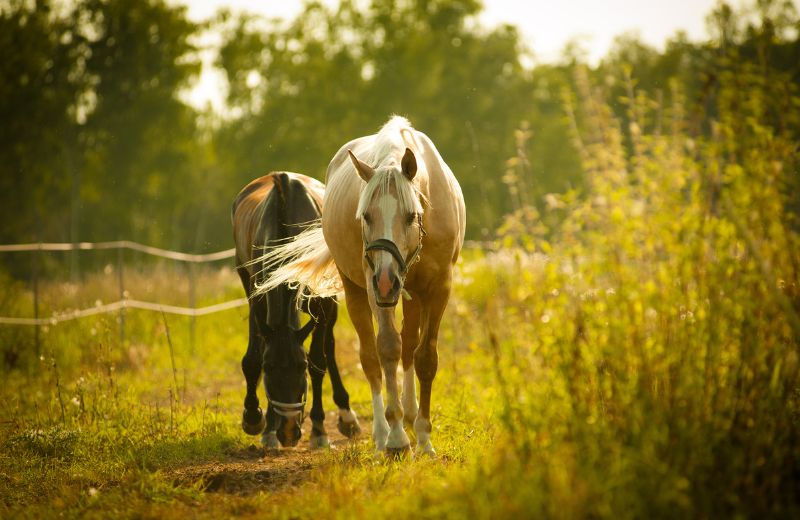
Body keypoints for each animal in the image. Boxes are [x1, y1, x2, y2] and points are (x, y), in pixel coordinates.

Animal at [230, 173, 358, 448]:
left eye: (301, 366)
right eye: (269, 368)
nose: (288, 431)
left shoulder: (323, 301)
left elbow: (319, 360)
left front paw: (319, 430)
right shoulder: (257, 296)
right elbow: (253, 357)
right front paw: (257, 419)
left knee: (329, 345)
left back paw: (346, 415)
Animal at [256, 119, 466, 456]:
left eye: (412, 215)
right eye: (365, 215)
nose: (386, 280)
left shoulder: (438, 288)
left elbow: (424, 357)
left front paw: (424, 438)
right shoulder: (376, 290)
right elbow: (388, 350)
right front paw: (397, 439)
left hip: (408, 292)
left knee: (410, 345)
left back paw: (410, 416)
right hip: (359, 290)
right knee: (371, 358)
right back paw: (383, 434)